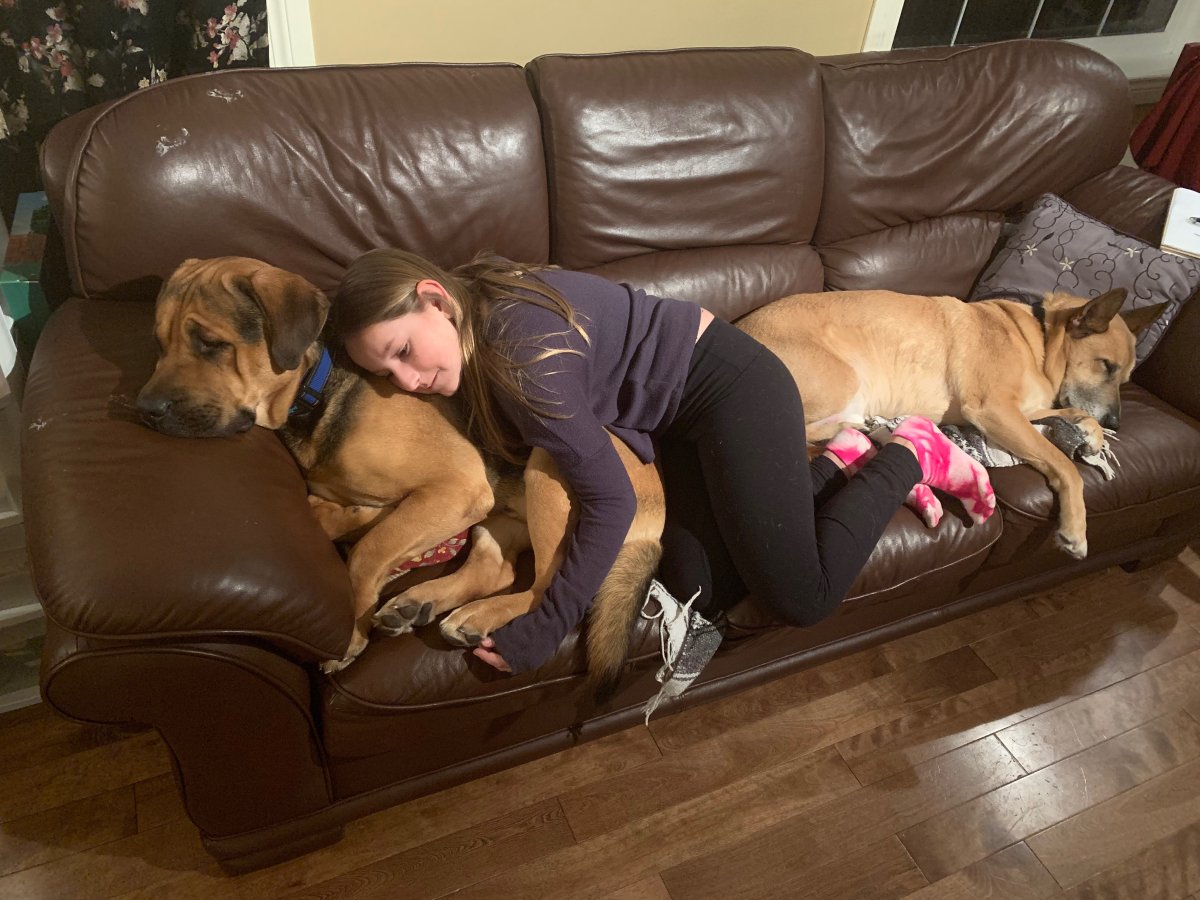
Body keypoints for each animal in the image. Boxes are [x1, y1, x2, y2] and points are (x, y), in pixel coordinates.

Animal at [136, 256, 672, 681]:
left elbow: (366, 552)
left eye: (210, 343)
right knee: (497, 569)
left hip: (546, 464)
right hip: (502, 512)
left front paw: (350, 632)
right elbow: (344, 518)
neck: (317, 388)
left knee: (552, 587)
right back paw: (423, 603)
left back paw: (477, 615)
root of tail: (657, 513)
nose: (145, 410)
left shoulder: (457, 486)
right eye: (159, 343)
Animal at [734, 289, 1166, 561]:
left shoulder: (1017, 412)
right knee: (820, 436)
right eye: (1106, 366)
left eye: (1127, 377)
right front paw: (1075, 528)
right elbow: (1063, 466)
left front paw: (1093, 431)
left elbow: (1072, 414)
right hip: (845, 384)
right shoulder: (993, 410)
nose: (1118, 423)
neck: (1039, 342)